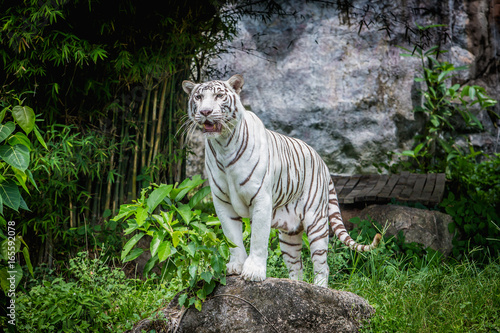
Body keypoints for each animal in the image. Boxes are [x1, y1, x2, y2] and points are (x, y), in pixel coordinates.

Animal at [182, 74, 380, 286]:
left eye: (219, 96)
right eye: (198, 97)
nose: (205, 111)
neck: (223, 145)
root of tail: (323, 163)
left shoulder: (260, 199)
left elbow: (258, 239)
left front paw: (253, 272)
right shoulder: (222, 202)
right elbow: (232, 237)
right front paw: (236, 266)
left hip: (316, 222)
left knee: (322, 265)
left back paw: (319, 287)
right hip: (289, 236)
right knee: (297, 267)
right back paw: (295, 285)